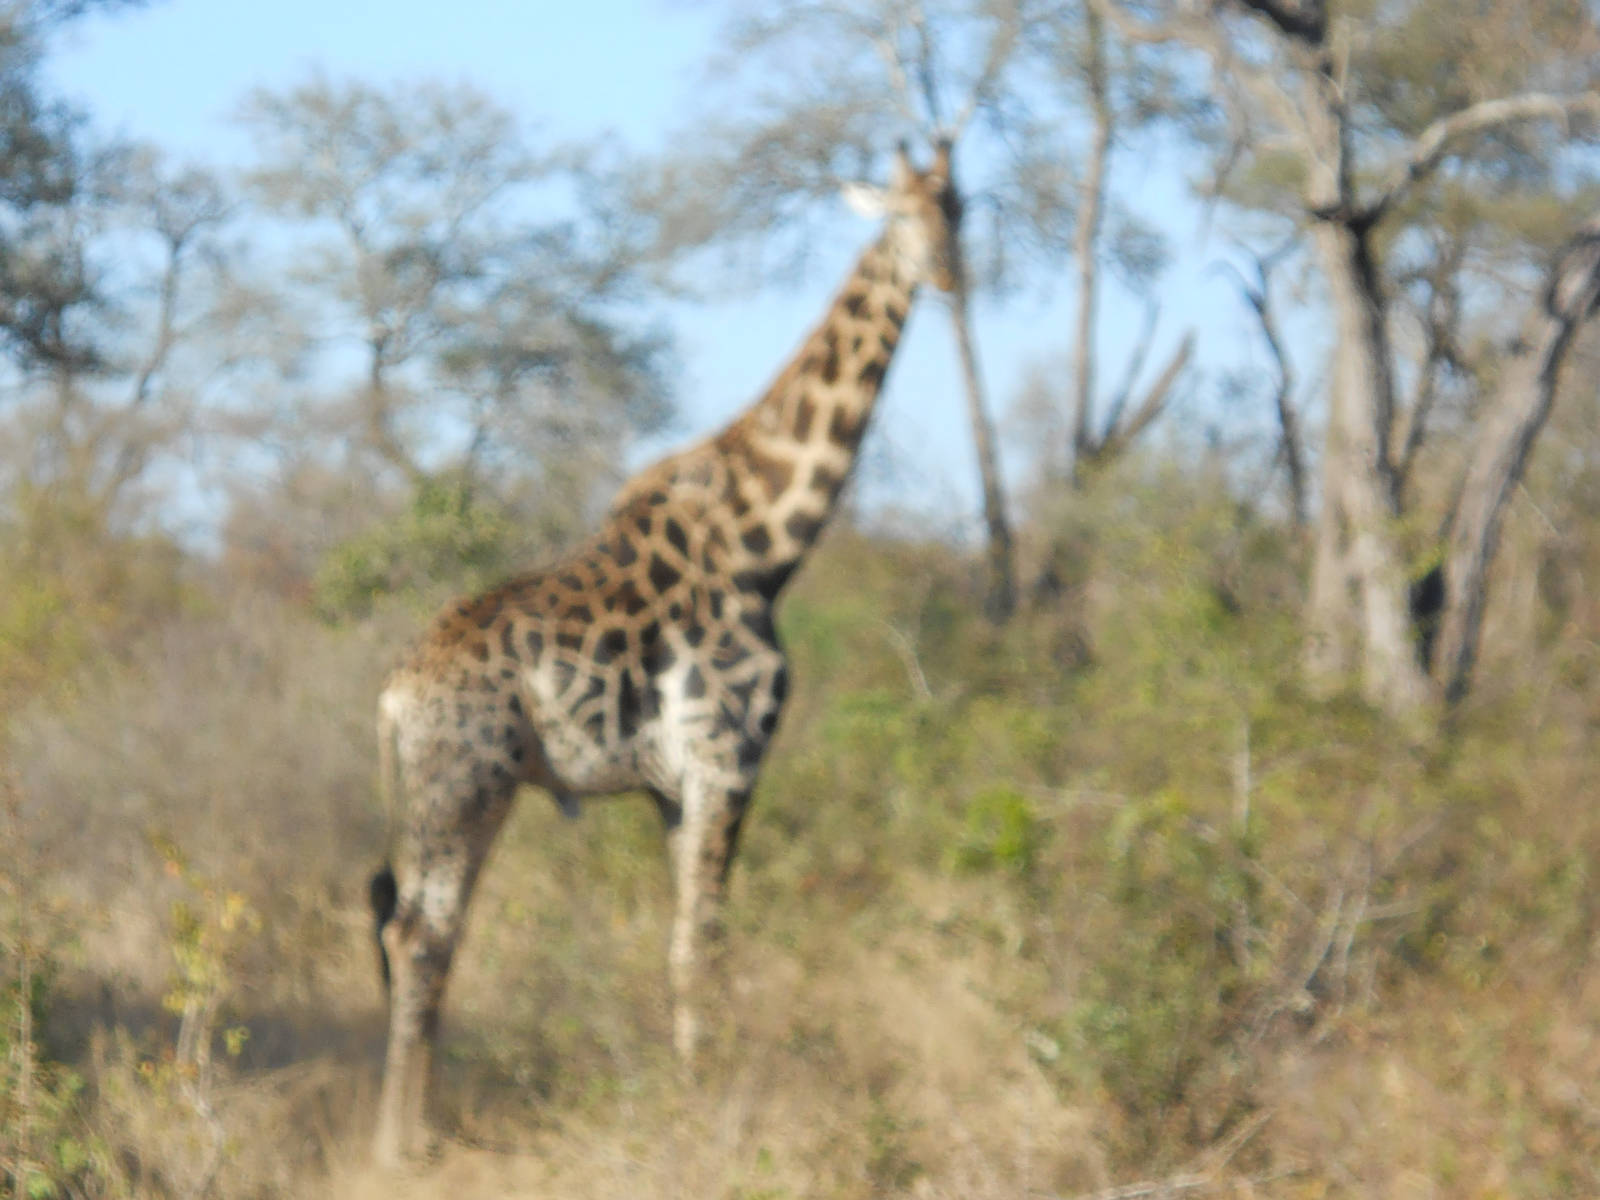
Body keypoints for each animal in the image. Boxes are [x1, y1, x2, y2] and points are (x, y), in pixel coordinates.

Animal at [368, 141, 964, 1166]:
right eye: (901, 217)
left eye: (960, 209)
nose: (955, 276)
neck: (765, 542)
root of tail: (394, 698)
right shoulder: (729, 759)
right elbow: (704, 944)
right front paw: (710, 1107)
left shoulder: (673, 786)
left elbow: (684, 941)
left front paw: (694, 1087)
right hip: (466, 785)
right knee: (418, 936)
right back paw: (403, 1148)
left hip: (456, 793)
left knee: (424, 933)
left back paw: (414, 1134)